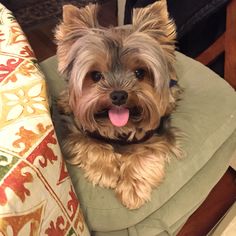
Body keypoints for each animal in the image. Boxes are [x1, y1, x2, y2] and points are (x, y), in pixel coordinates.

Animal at [55, 0, 183, 208]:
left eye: (140, 73)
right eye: (96, 75)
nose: (118, 95)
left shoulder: (157, 135)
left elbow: (143, 153)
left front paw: (132, 188)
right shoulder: (78, 131)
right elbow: (93, 145)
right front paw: (105, 171)